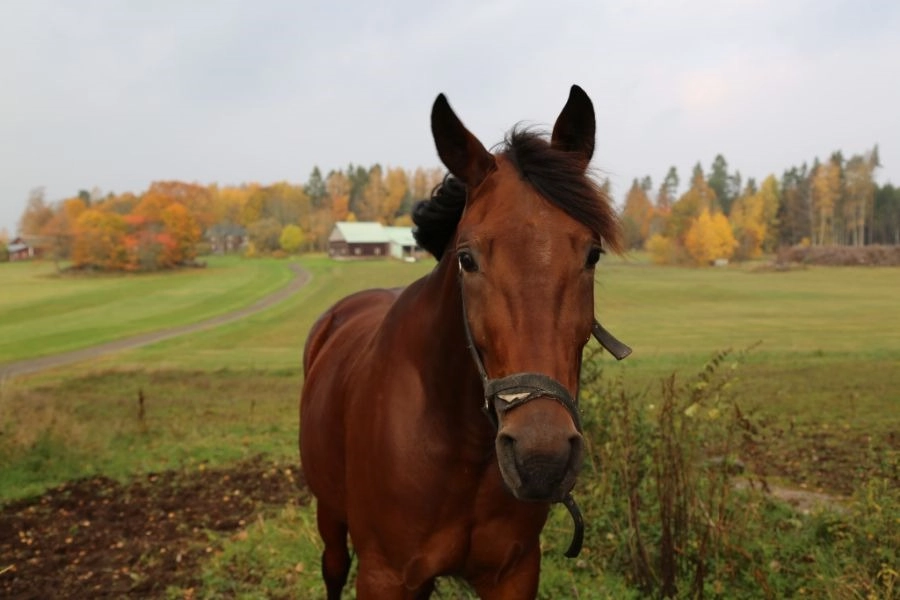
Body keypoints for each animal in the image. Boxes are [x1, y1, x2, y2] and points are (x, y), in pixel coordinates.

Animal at [300, 85, 627, 599]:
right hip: (330, 514)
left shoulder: (514, 572)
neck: (460, 445)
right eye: (467, 258)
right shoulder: (382, 574)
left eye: (592, 254)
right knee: (333, 566)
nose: (541, 458)